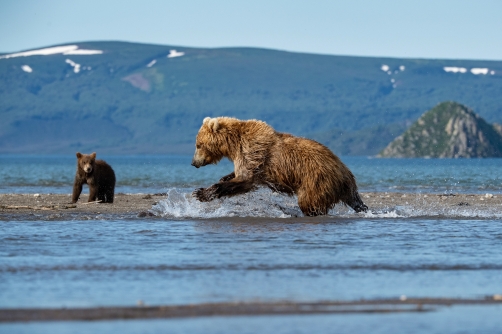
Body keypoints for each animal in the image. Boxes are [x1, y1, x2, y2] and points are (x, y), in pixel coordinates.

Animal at [190, 117, 366, 217]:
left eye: (198, 145)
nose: (193, 163)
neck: (233, 145)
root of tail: (344, 172)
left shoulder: (253, 152)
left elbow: (245, 179)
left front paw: (201, 193)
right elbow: (239, 176)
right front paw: (224, 177)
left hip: (317, 180)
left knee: (309, 202)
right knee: (354, 200)